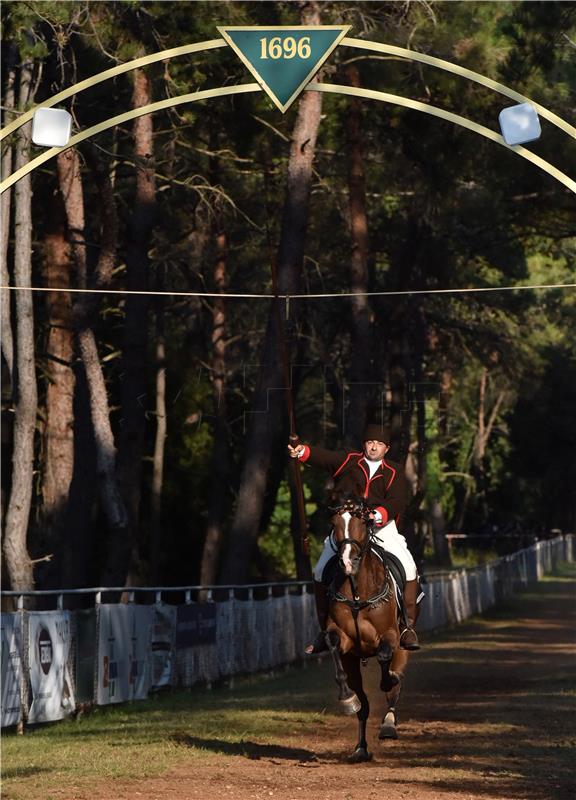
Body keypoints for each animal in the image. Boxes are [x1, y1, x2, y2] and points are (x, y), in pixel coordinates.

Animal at [320, 494, 410, 764]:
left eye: (362, 522)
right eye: (335, 524)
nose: (348, 562)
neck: (358, 591)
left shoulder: (390, 636)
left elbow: (384, 656)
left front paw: (389, 681)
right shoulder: (344, 642)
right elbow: (332, 643)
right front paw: (347, 699)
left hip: (404, 647)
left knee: (393, 685)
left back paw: (388, 724)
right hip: (353, 663)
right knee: (364, 706)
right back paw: (361, 747)